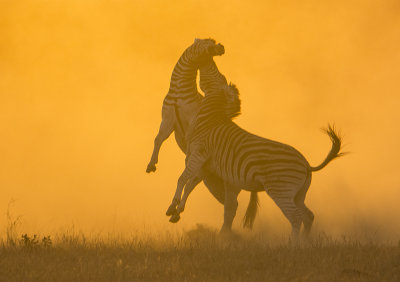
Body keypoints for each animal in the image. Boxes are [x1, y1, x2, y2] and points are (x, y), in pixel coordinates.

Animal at [166, 84, 344, 238]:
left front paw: (173, 205)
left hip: (281, 190)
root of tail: (307, 164)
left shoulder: (198, 154)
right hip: (298, 194)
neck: (209, 120)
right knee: (308, 216)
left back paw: (292, 244)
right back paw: (305, 243)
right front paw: (177, 210)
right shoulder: (206, 166)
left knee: (296, 217)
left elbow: (182, 179)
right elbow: (190, 185)